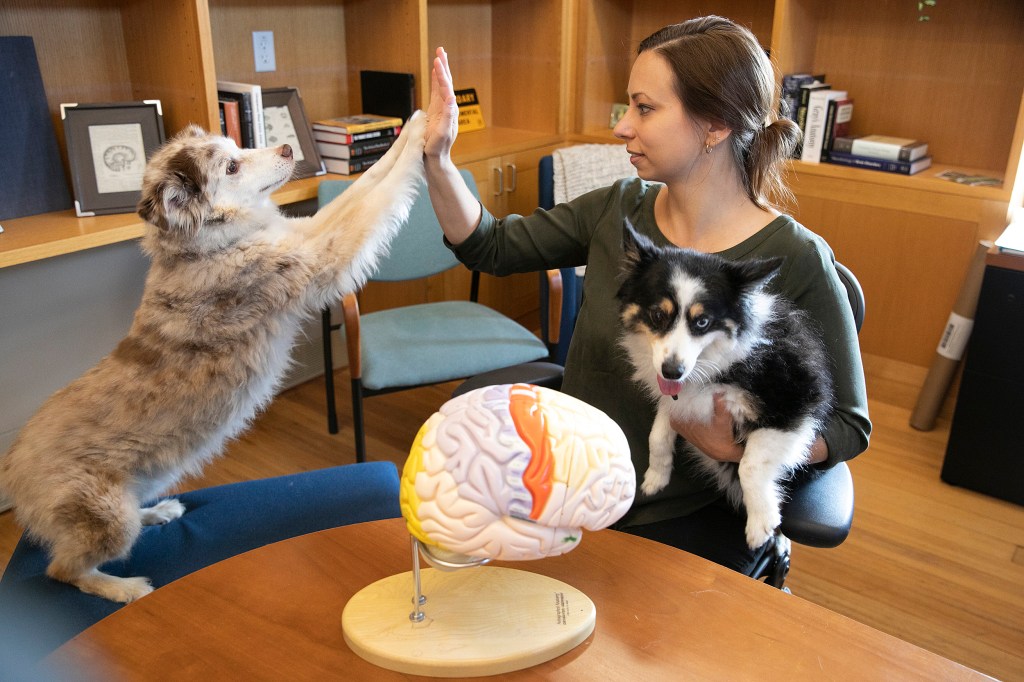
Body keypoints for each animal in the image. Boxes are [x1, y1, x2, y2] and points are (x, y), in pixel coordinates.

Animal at [0, 109, 425, 598]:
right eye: (232, 167)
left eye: (236, 147)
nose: (288, 149)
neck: (207, 244)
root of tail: (11, 469)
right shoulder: (322, 255)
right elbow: (374, 198)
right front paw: (427, 126)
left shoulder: (304, 232)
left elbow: (370, 180)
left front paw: (414, 122)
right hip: (107, 517)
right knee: (63, 570)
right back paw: (125, 589)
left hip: (149, 477)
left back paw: (158, 512)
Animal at [614, 223, 831, 548]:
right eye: (657, 315)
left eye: (702, 322)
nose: (672, 371)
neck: (718, 360)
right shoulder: (680, 400)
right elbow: (658, 435)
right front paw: (655, 477)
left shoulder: (794, 401)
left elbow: (749, 465)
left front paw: (761, 523)